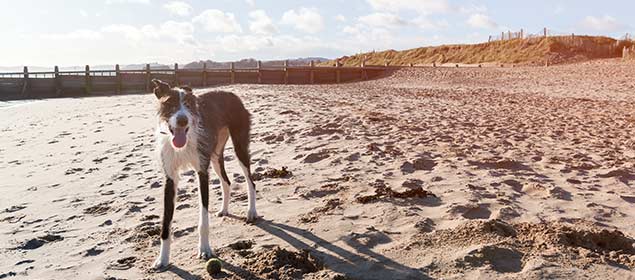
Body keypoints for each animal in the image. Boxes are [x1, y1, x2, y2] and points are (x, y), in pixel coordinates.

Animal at [150, 78, 258, 270]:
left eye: (189, 104)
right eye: (169, 103)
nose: (183, 120)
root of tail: (232, 94)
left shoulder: (202, 173)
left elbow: (204, 219)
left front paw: (205, 249)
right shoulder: (170, 179)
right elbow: (165, 224)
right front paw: (162, 259)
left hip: (239, 147)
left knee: (250, 181)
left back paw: (251, 211)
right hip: (214, 156)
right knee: (227, 182)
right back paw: (224, 210)